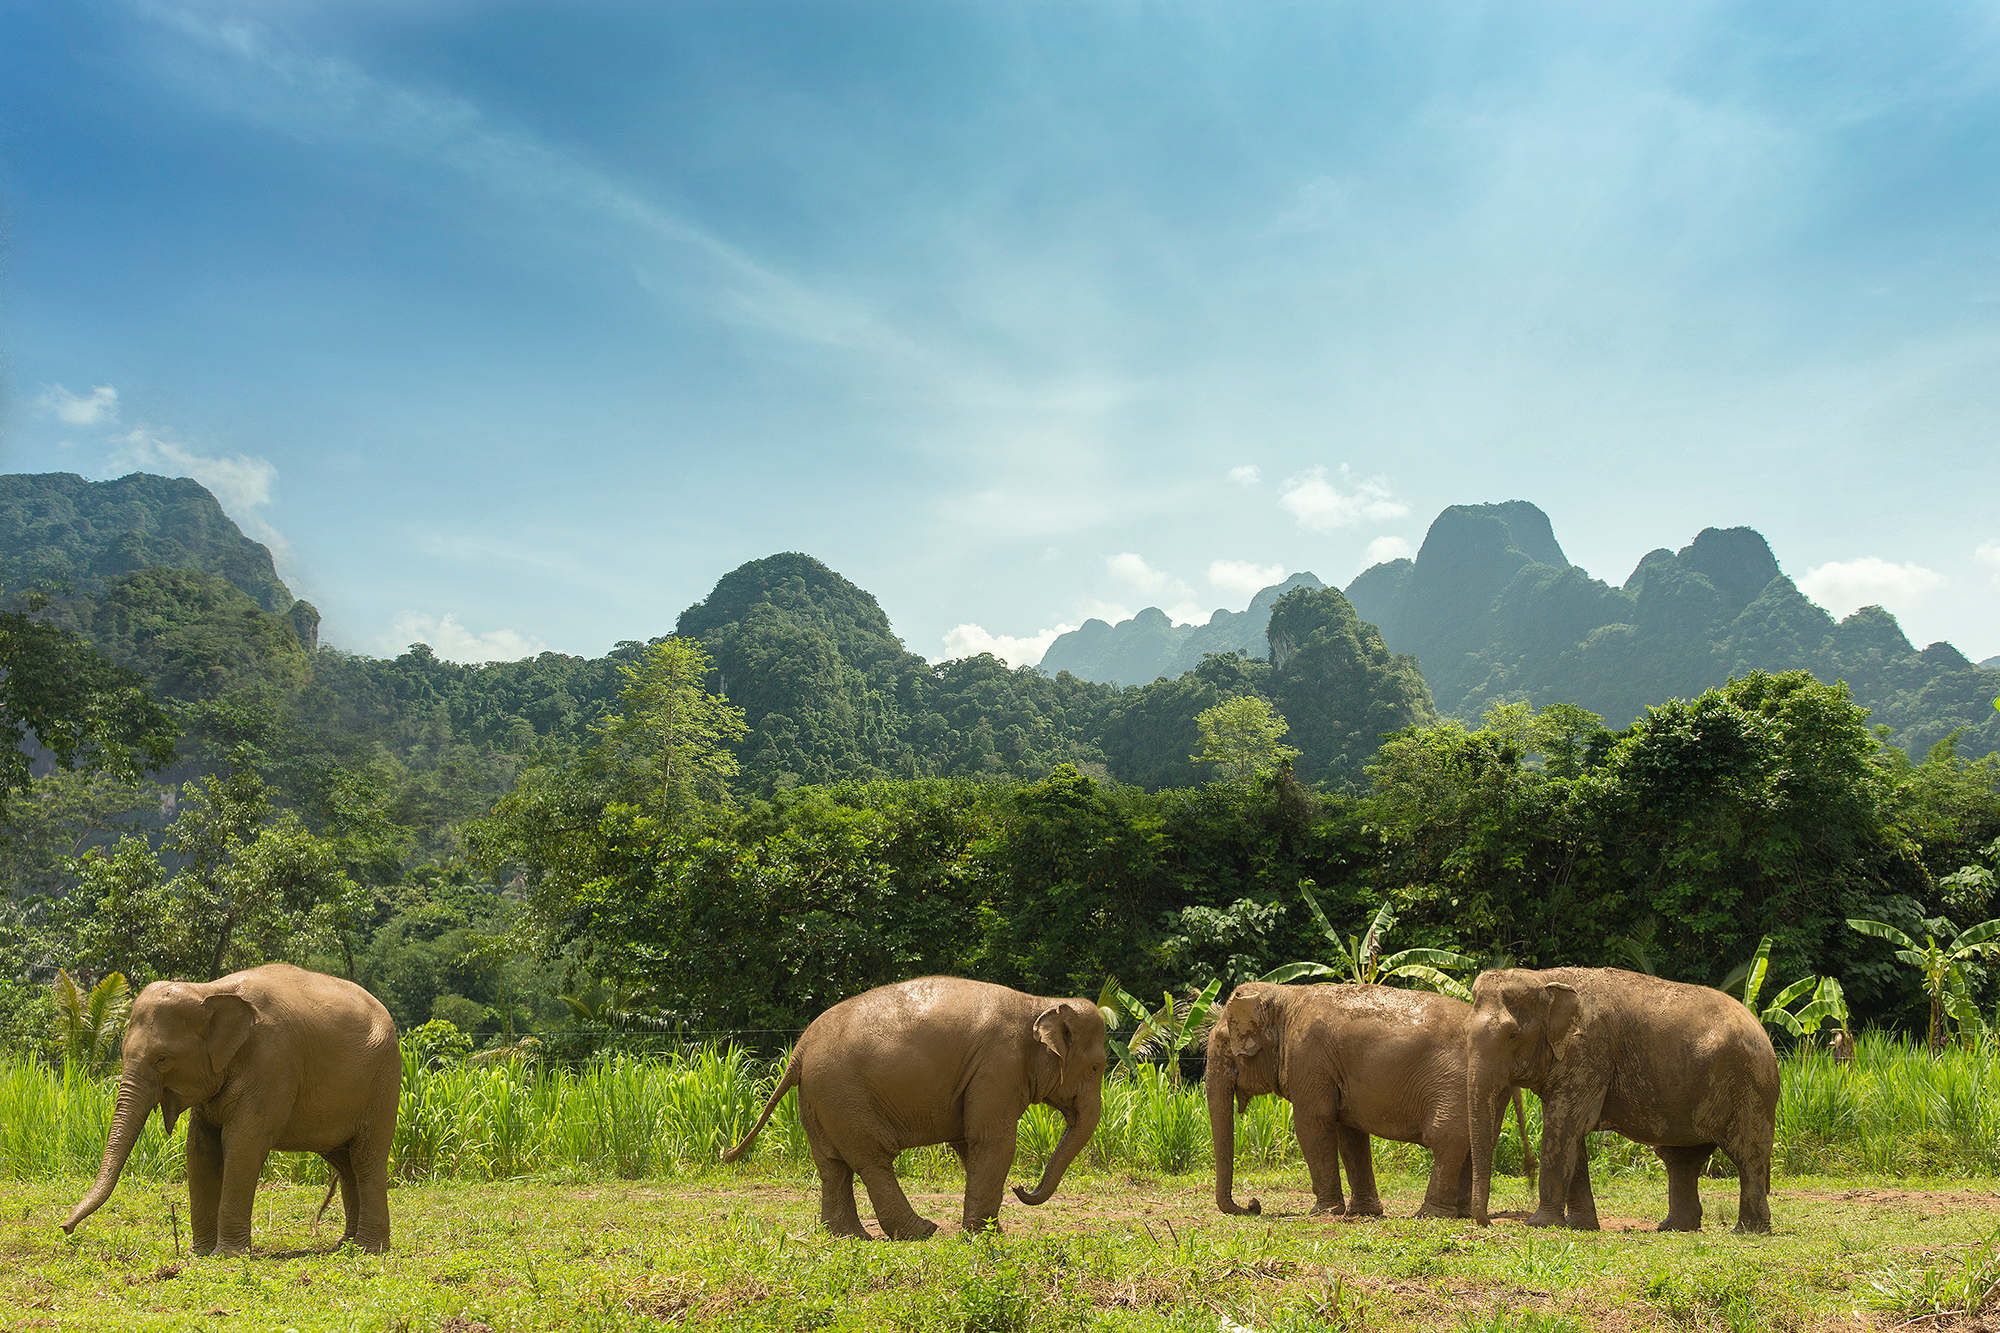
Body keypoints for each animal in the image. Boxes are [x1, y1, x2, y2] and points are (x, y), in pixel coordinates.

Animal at [62, 963, 401, 1255]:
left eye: (162, 1059)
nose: (65, 1228)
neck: (208, 991)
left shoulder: (272, 1062)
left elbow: (243, 1143)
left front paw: (227, 1255)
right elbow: (200, 1147)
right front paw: (201, 1252)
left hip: (384, 1081)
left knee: (366, 1157)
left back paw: (369, 1248)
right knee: (344, 1162)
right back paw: (345, 1245)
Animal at [721, 976, 1107, 1239]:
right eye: (1095, 1068)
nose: (1021, 1188)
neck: (1040, 1003)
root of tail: (799, 1050)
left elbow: (969, 1144)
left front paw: (986, 1231)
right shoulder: (999, 1066)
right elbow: (992, 1141)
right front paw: (984, 1235)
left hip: (818, 1099)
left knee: (832, 1165)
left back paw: (851, 1237)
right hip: (842, 1094)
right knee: (872, 1160)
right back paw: (920, 1231)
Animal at [1206, 981, 1535, 1219]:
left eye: (1224, 1043)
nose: (1253, 1204)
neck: (1283, 995)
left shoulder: (1308, 1059)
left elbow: (1312, 1124)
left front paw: (1322, 1213)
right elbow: (1349, 1133)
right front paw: (1364, 1213)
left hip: (1456, 1083)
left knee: (1447, 1137)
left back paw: (1430, 1215)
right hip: (1489, 1088)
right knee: (1475, 1140)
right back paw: (1461, 1214)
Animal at [1467, 967, 1778, 1234]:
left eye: (1512, 1035)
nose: (1487, 1222)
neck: (1545, 978)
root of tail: (1760, 1029)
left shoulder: (1590, 1051)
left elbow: (1564, 1125)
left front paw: (1539, 1225)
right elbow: (1571, 1135)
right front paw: (1581, 1226)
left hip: (1749, 1086)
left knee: (1746, 1154)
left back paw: (1747, 1231)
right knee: (1681, 1159)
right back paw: (1674, 1228)